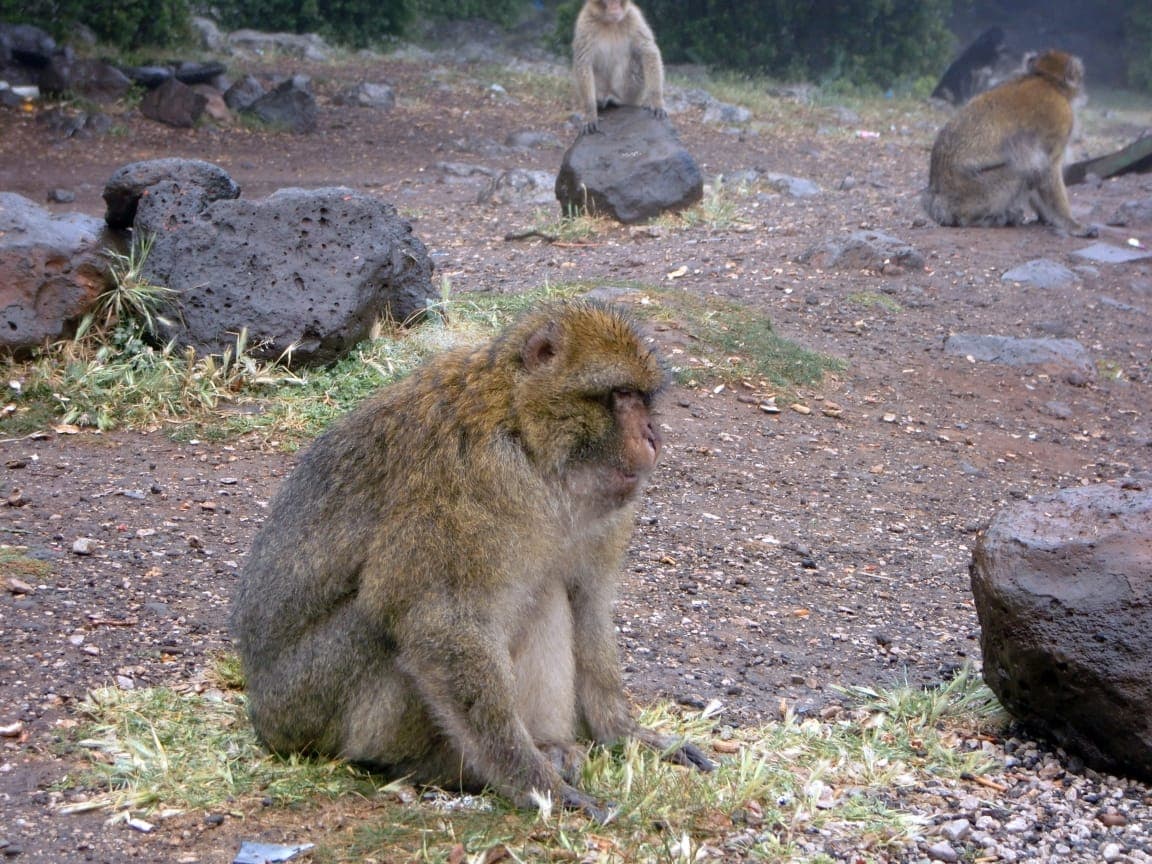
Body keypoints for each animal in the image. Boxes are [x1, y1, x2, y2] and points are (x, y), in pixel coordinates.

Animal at [230, 300, 714, 821]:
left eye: (643, 399)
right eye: (621, 395)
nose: (652, 435)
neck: (525, 435)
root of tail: (267, 720)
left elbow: (586, 601)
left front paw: (624, 734)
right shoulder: (471, 479)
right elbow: (440, 623)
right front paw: (536, 784)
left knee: (546, 590)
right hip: (318, 705)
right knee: (384, 622)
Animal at [572, 0, 666, 135]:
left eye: (616, 1)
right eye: (608, 2)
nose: (614, 7)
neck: (609, 22)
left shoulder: (633, 17)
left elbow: (648, 52)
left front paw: (656, 101)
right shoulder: (585, 23)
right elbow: (583, 63)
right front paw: (590, 114)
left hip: (631, 93)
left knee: (637, 59)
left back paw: (618, 100)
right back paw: (600, 102)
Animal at [923, 49, 1097, 238]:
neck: (1046, 79)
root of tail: (937, 199)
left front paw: (1046, 217)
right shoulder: (1062, 118)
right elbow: (1045, 169)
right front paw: (1072, 225)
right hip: (973, 192)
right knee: (1020, 171)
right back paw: (980, 219)